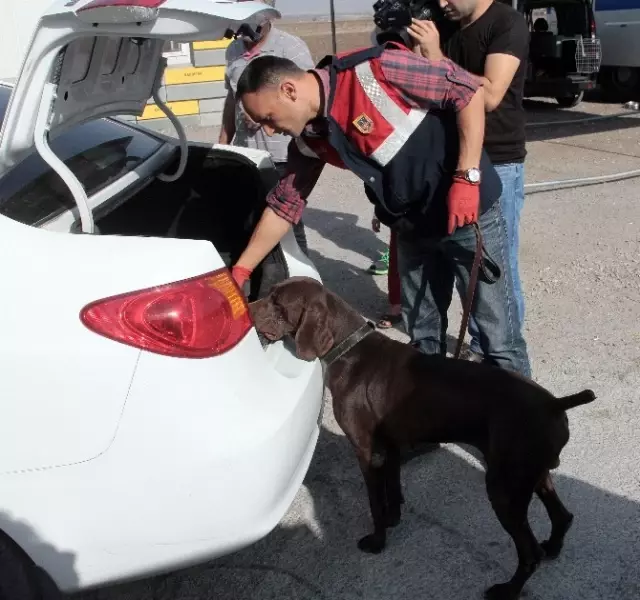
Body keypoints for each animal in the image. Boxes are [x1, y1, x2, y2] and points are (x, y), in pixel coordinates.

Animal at [249, 278, 596, 600]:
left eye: (277, 302)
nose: (247, 308)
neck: (350, 348)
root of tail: (555, 404)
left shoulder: (366, 450)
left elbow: (375, 503)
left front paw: (377, 542)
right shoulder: (388, 446)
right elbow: (393, 491)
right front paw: (394, 520)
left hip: (505, 488)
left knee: (529, 552)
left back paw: (507, 589)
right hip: (532, 474)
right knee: (563, 516)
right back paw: (553, 547)